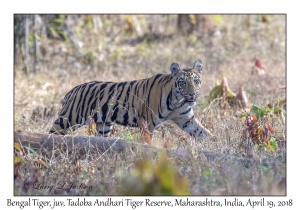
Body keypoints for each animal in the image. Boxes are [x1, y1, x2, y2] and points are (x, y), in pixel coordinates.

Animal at [49, 60, 212, 142]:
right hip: (68, 119)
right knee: (51, 133)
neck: (177, 101)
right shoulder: (147, 122)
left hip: (104, 126)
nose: (192, 94)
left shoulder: (186, 119)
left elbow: (204, 132)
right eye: (183, 83)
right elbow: (147, 142)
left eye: (196, 81)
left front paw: (218, 146)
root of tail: (73, 90)